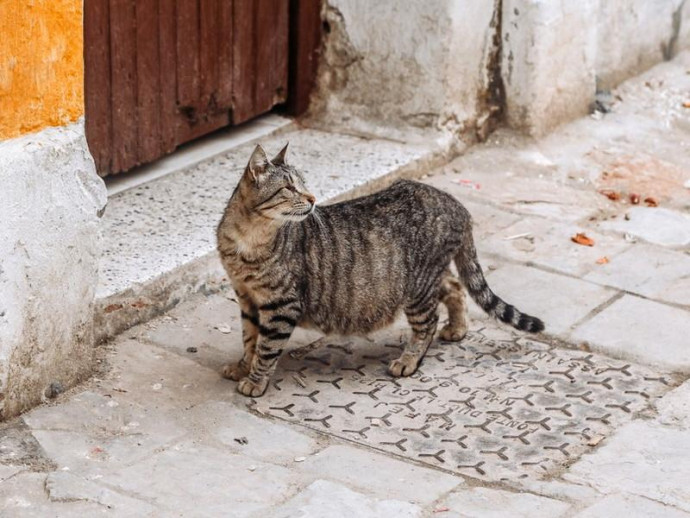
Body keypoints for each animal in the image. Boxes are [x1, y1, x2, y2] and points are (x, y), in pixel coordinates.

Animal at [215, 145, 544, 398]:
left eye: (304, 184)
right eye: (288, 188)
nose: (312, 199)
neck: (247, 239)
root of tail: (456, 204)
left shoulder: (281, 305)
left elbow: (267, 348)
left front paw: (255, 380)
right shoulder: (247, 298)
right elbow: (250, 339)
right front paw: (243, 366)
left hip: (417, 288)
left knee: (428, 323)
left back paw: (409, 360)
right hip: (430, 277)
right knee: (454, 285)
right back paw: (457, 328)